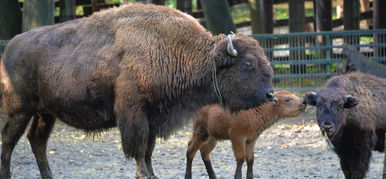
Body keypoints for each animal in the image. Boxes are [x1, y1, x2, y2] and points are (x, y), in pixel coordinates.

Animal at [0, 3, 274, 179]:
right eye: (248, 63)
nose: (270, 94)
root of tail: (10, 46)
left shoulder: (154, 116)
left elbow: (149, 149)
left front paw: (151, 174)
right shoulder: (134, 113)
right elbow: (138, 147)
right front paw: (143, 174)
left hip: (45, 113)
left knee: (37, 141)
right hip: (20, 109)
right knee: (9, 140)